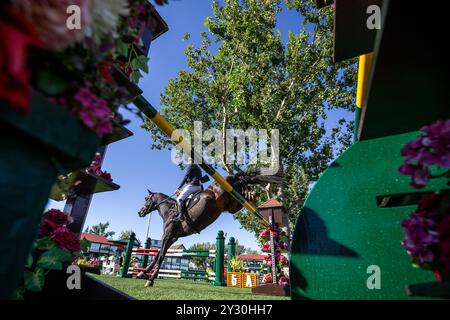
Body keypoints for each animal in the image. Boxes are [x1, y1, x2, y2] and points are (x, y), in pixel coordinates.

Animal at [137, 171, 284, 286]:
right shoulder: (172, 238)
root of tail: (231, 176)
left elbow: (161, 255)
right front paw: (143, 273)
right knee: (243, 194)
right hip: (231, 205)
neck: (169, 211)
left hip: (228, 192)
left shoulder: (167, 236)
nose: (140, 212)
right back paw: (252, 195)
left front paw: (150, 279)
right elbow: (157, 255)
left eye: (146, 199)